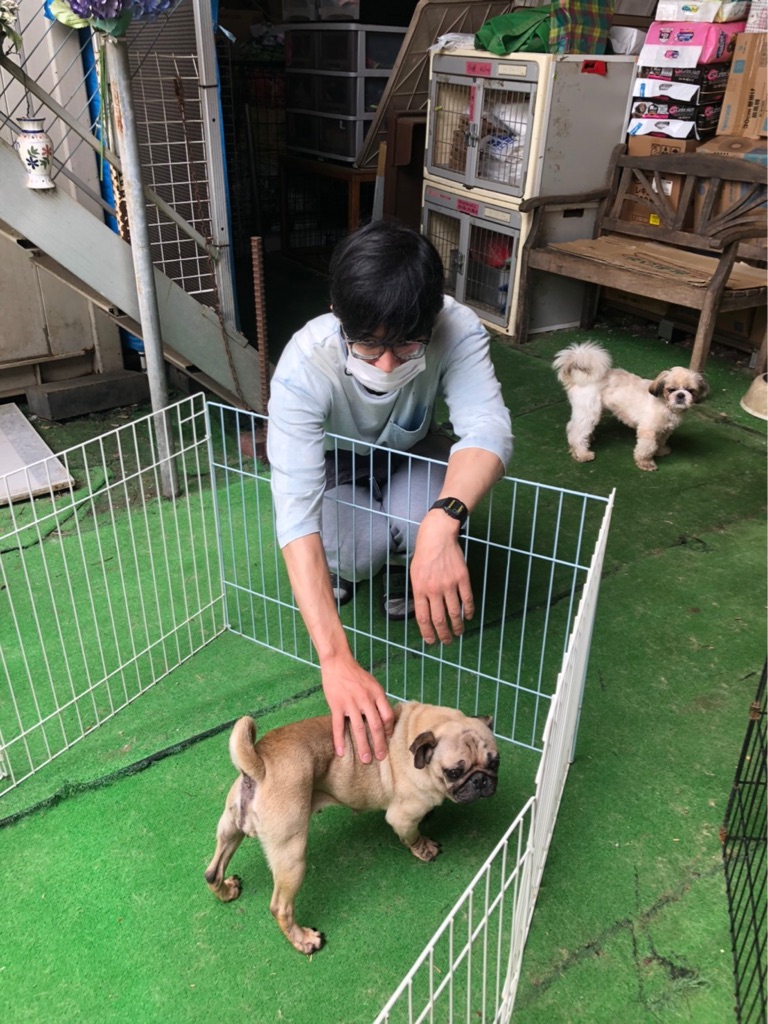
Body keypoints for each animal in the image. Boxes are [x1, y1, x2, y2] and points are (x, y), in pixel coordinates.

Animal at [204, 701, 499, 955]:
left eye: (495, 762)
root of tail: (259, 766)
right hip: (291, 854)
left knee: (212, 871)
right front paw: (424, 848)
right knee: (280, 907)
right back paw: (304, 940)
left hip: (230, 827)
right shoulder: (402, 817)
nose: (481, 780)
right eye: (454, 772)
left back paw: (226, 891)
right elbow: (412, 836)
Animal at [553, 342, 708, 471]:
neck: (666, 406)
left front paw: (660, 451)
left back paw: (589, 439)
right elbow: (647, 448)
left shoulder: (665, 430)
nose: (681, 395)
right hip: (589, 411)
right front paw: (646, 463)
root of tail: (577, 378)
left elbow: (660, 442)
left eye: (691, 390)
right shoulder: (648, 430)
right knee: (575, 431)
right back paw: (582, 453)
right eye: (671, 389)